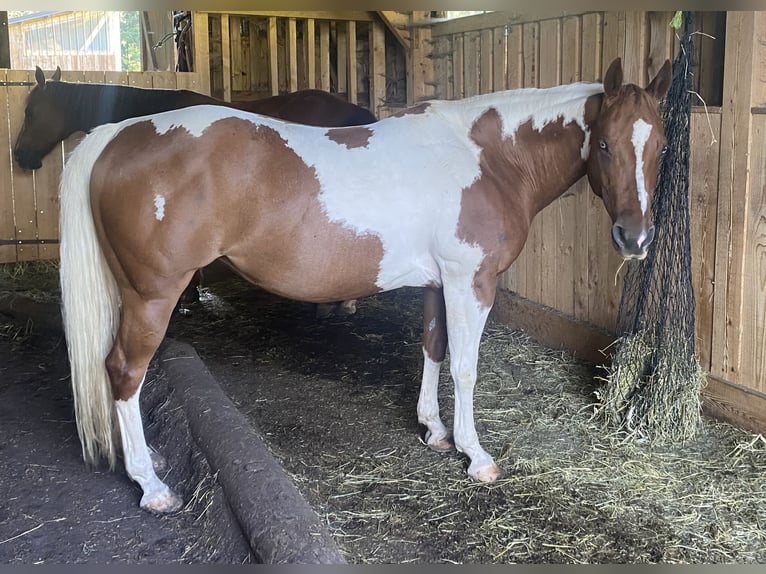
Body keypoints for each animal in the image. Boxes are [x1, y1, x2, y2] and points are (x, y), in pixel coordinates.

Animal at [60, 58, 672, 516]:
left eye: (661, 145)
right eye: (605, 145)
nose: (636, 237)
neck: (488, 158)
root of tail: (116, 135)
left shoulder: (437, 282)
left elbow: (432, 348)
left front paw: (433, 429)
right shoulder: (469, 280)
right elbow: (465, 366)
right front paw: (475, 455)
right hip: (152, 296)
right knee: (123, 372)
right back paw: (153, 487)